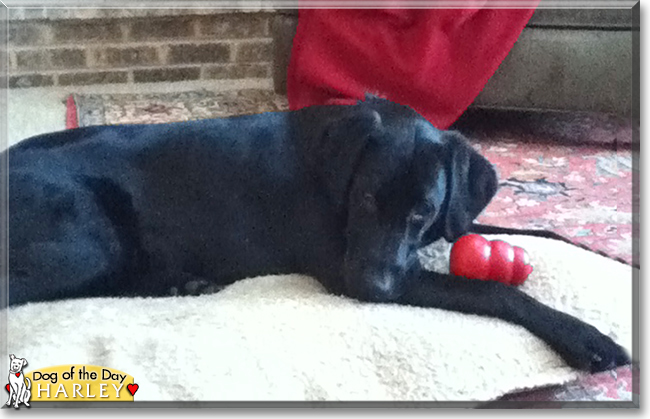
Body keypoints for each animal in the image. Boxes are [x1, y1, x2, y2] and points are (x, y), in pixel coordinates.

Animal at [5, 97, 624, 372]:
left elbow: (540, 227)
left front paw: (602, 252)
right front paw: (586, 337)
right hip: (87, 236)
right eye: (368, 198)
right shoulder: (355, 267)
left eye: (423, 212)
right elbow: (494, 290)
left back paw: (182, 283)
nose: (374, 291)